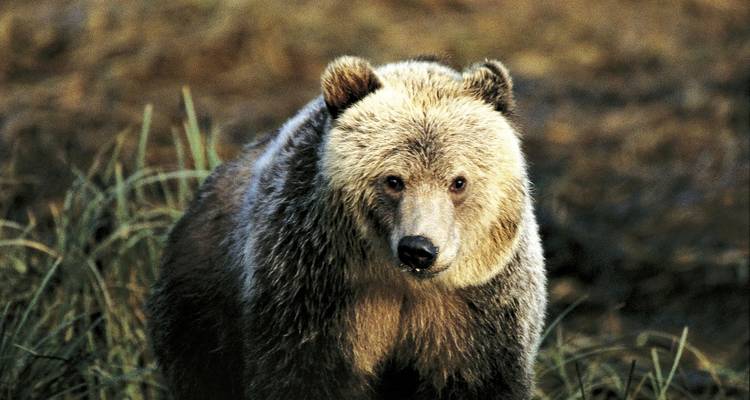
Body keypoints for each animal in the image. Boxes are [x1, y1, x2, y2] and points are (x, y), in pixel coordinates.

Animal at [147, 56, 547, 400]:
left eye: (458, 182)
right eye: (393, 180)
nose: (418, 249)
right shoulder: (315, 290)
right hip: (201, 303)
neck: (401, 283)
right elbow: (303, 375)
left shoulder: (476, 308)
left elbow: (477, 378)